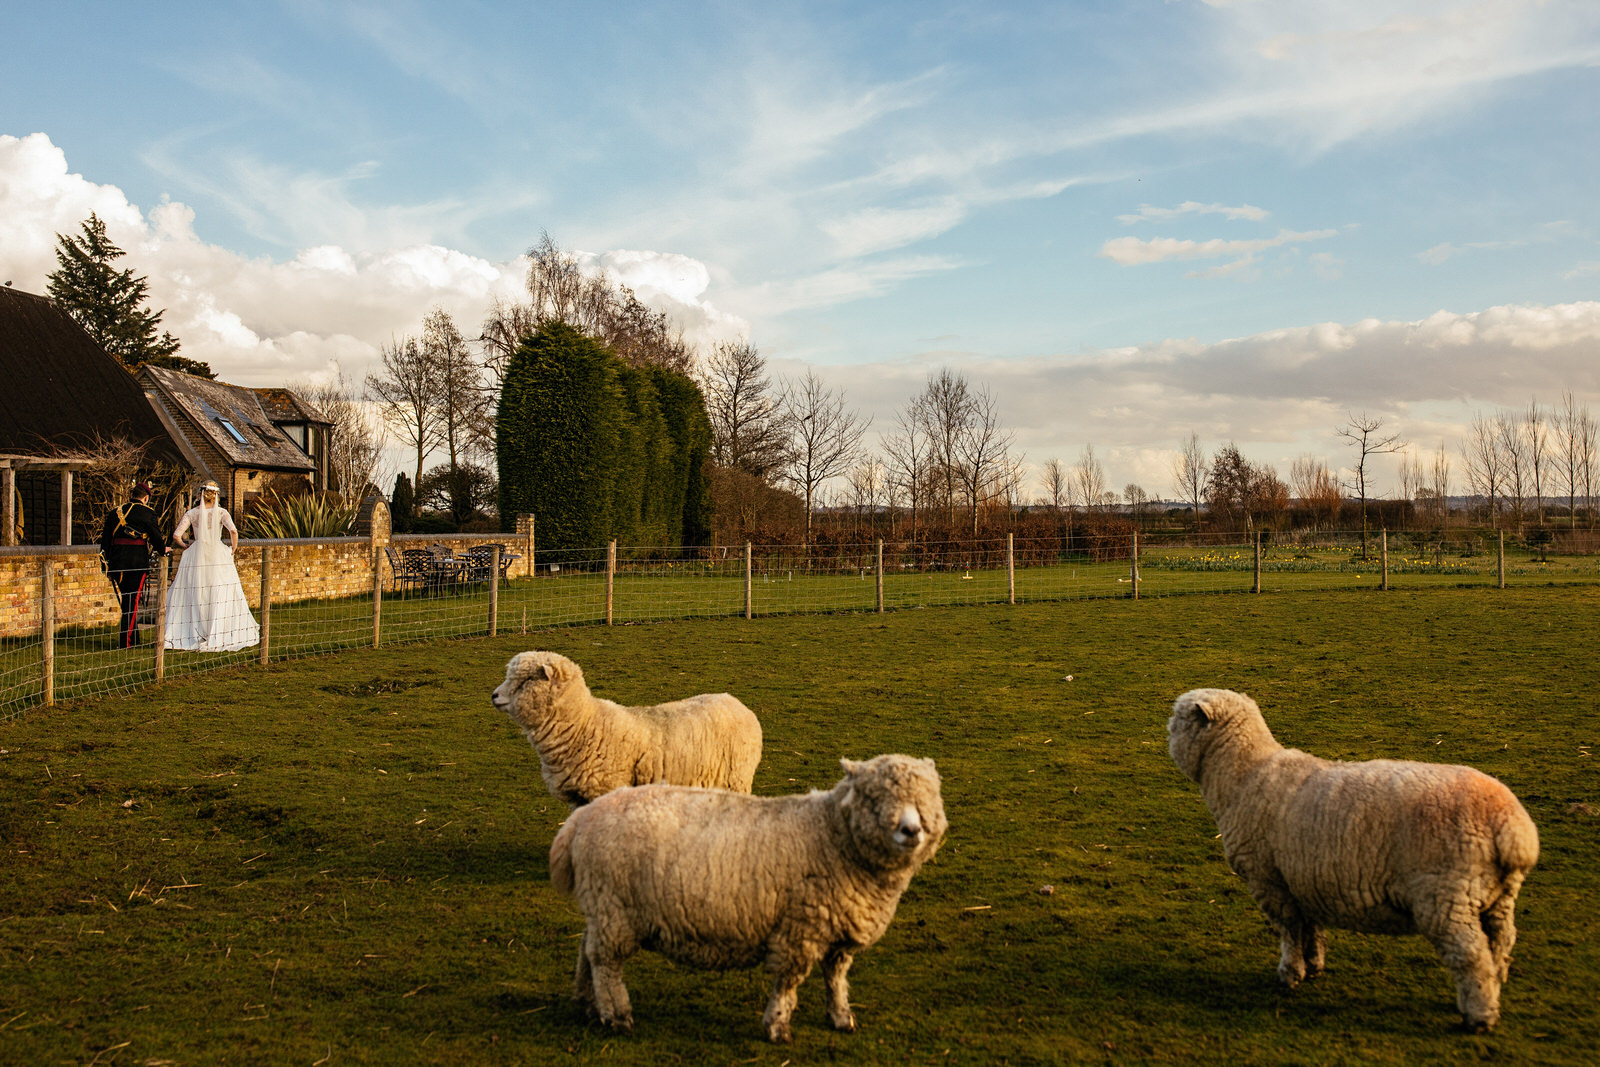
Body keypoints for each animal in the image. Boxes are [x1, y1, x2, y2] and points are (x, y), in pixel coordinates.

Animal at [486, 646, 761, 806]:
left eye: (526, 680)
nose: (494, 696)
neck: (584, 726)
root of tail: (734, 701)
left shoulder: (607, 788)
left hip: (737, 779)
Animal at [550, 751, 947, 1043]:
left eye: (927, 798)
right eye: (874, 796)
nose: (911, 830)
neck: (833, 835)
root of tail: (580, 819)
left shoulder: (836, 931)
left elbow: (836, 979)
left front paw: (840, 1017)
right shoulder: (800, 929)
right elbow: (788, 983)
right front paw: (777, 1028)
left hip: (603, 908)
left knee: (587, 950)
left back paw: (587, 1002)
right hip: (614, 908)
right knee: (606, 965)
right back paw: (617, 1015)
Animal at [1171, 687, 1542, 1030]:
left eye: (1178, 717)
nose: (1167, 733)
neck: (1244, 775)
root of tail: (1511, 825)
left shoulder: (1269, 880)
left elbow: (1289, 930)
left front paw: (1289, 974)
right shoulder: (1305, 878)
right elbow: (1311, 928)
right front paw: (1313, 966)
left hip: (1446, 895)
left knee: (1471, 956)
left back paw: (1479, 1016)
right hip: (1498, 896)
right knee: (1500, 943)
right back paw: (1492, 992)